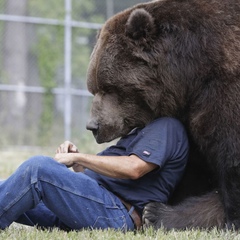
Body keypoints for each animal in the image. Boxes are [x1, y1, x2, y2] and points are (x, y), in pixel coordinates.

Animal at [85, 0, 240, 230]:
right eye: (93, 88)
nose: (94, 126)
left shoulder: (223, 89)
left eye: (109, 88)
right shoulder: (185, 114)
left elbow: (231, 156)